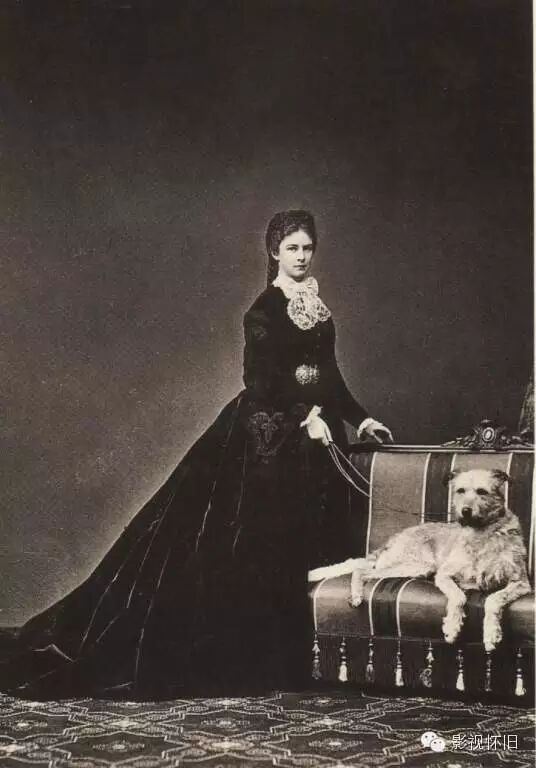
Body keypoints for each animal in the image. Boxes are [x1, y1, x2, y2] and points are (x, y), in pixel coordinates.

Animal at [349, 468, 532, 651]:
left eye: (482, 491)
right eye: (460, 490)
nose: (465, 510)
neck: (482, 533)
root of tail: (394, 538)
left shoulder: (521, 582)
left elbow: (494, 599)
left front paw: (491, 633)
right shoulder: (444, 575)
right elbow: (459, 596)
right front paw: (452, 627)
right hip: (418, 565)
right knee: (361, 570)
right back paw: (356, 594)